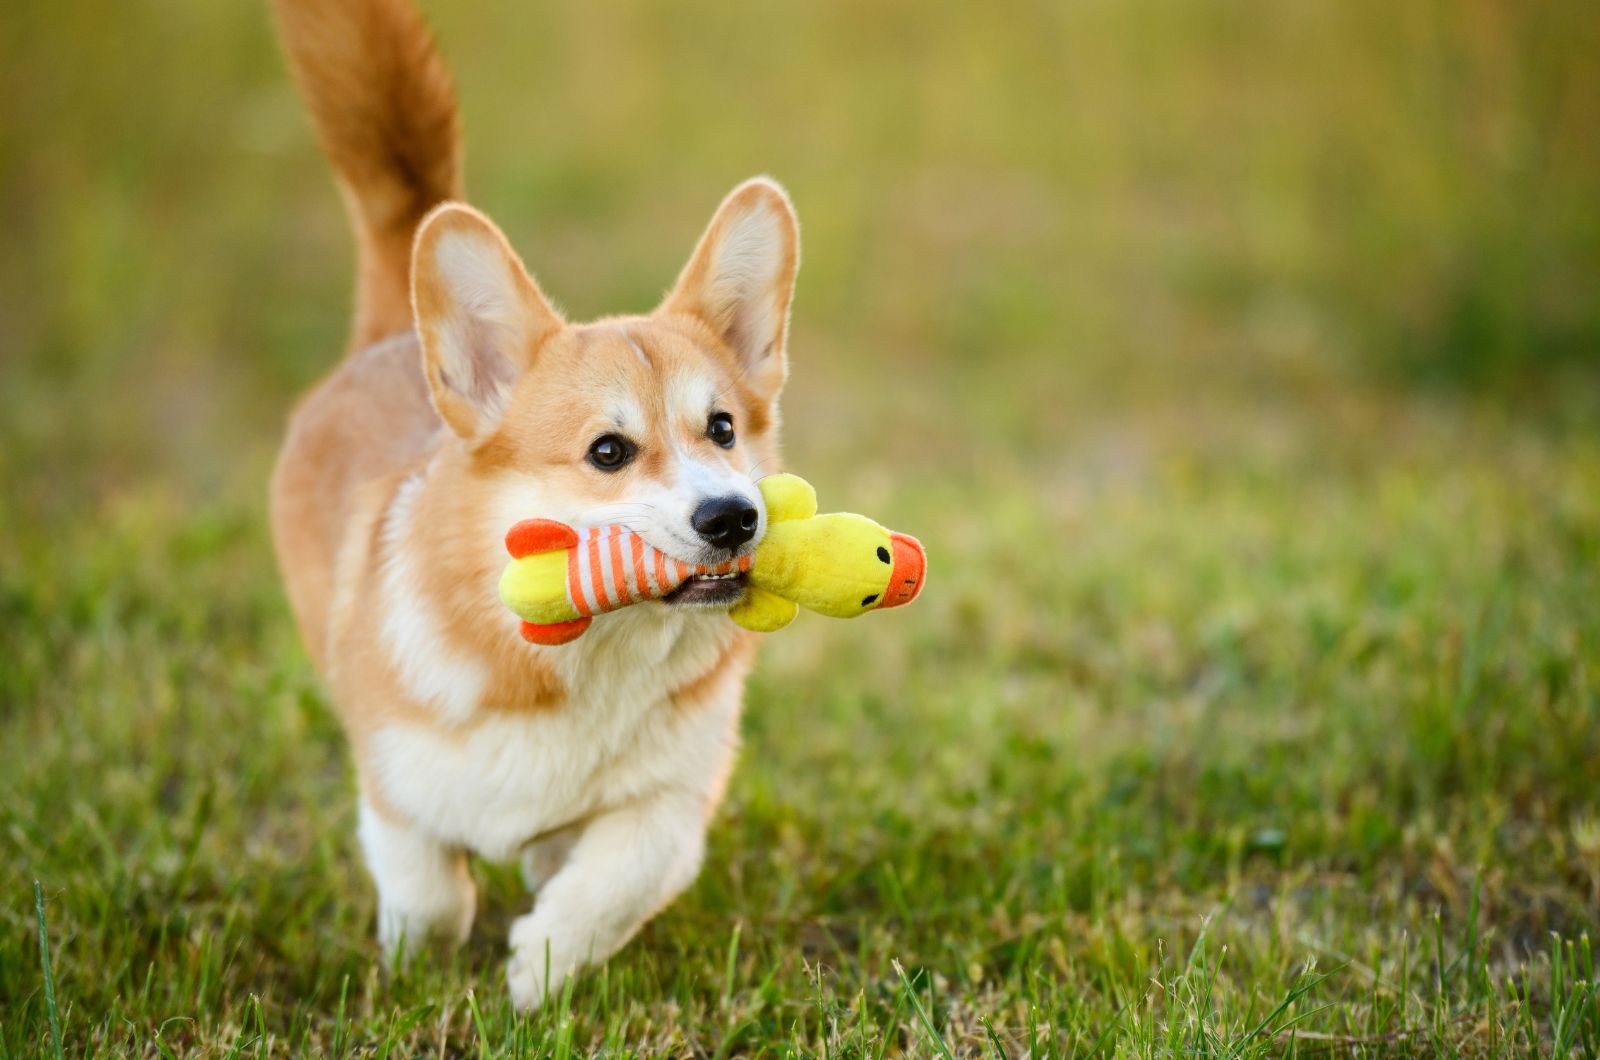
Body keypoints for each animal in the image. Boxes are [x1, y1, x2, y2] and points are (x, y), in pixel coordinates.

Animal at [268, 0, 800, 1011]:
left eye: (722, 429)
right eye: (608, 452)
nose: (732, 519)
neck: (590, 654)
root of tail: (390, 336)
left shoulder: (675, 796)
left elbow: (622, 873)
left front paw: (541, 966)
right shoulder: (393, 784)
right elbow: (429, 892)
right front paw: (421, 969)